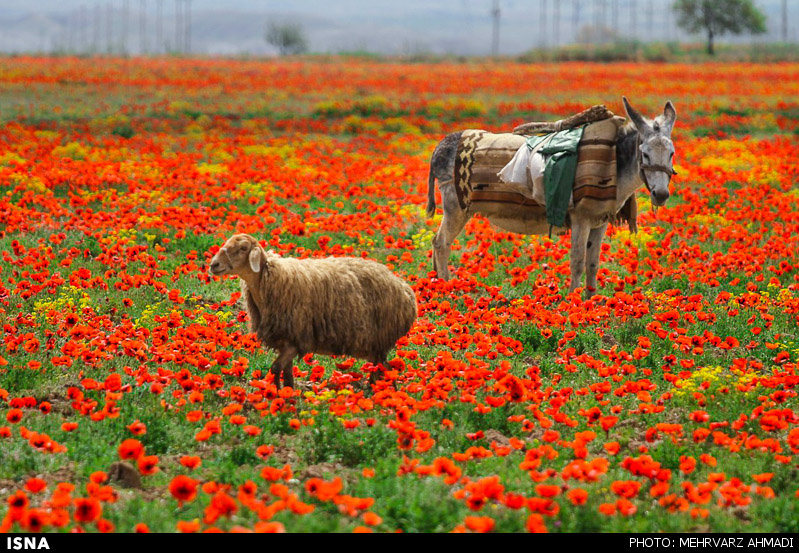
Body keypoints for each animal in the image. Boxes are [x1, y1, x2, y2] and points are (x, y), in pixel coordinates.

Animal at [206, 233, 418, 388]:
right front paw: (287, 393)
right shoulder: (286, 341)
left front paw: (277, 394)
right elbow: (286, 372)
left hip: (379, 338)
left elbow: (275, 368)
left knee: (385, 369)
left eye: (243, 248)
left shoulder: (296, 339)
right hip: (375, 345)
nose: (214, 265)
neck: (269, 280)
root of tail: (406, 290)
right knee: (380, 369)